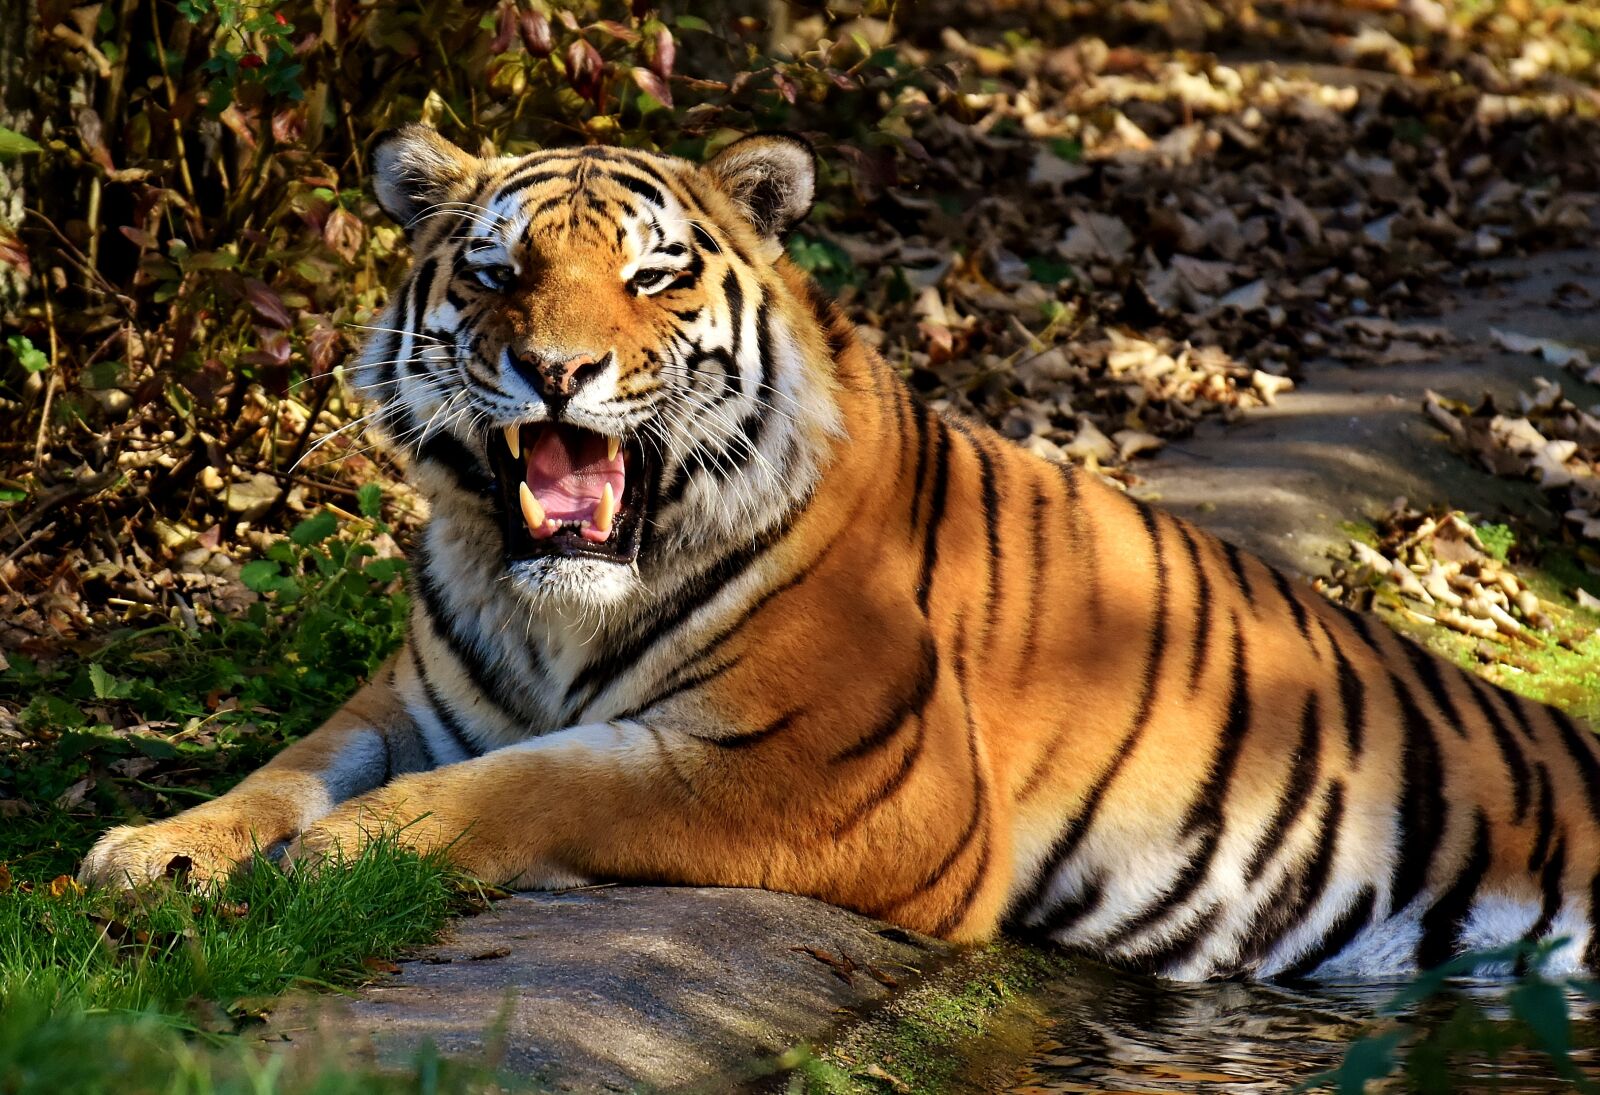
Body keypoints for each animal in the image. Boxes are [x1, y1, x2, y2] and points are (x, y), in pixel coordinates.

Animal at [80, 124, 1600, 982]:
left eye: (652, 277)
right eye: (496, 271)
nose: (556, 372)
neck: (554, 608)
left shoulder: (852, 772)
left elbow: (545, 782)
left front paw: (340, 855)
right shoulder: (411, 700)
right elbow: (290, 766)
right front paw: (159, 849)